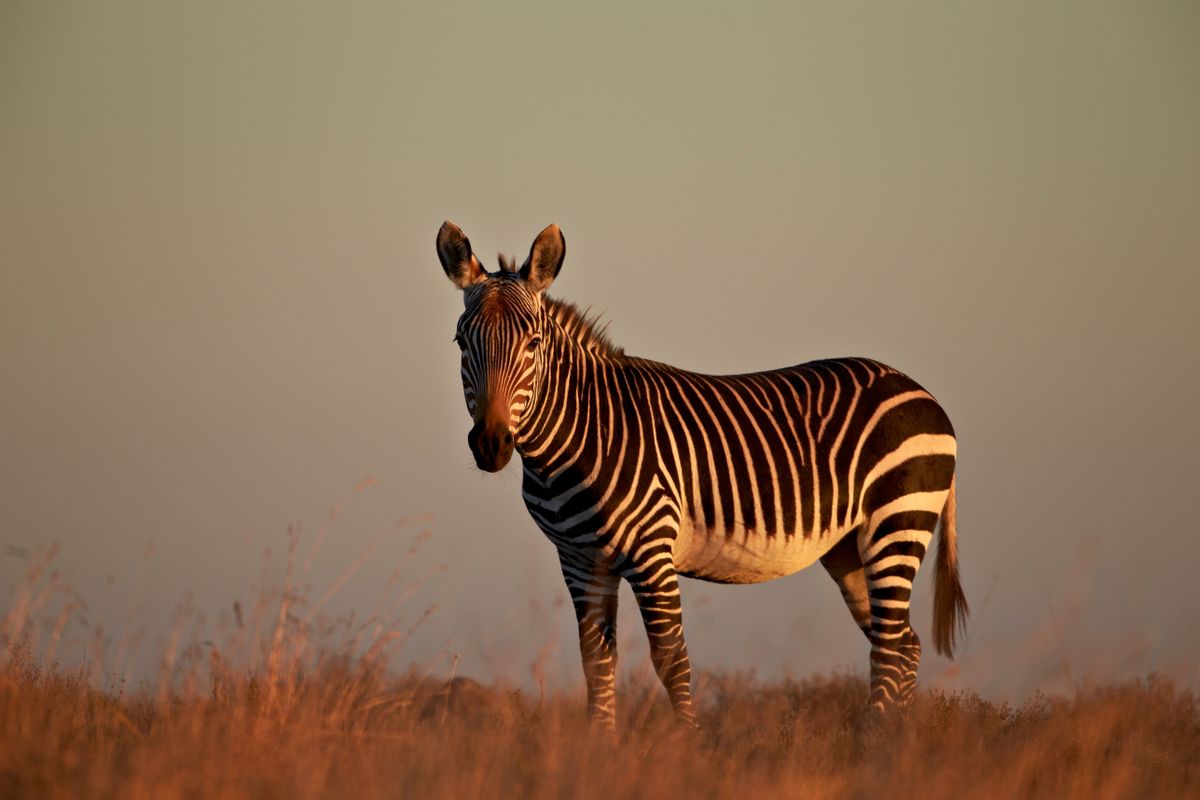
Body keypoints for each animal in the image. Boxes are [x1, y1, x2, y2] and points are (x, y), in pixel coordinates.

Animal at [436, 220, 967, 731]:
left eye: (533, 344)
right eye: (462, 343)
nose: (490, 444)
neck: (580, 436)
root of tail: (921, 392)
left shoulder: (651, 550)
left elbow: (671, 660)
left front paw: (688, 747)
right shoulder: (580, 560)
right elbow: (596, 662)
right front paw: (598, 748)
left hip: (896, 523)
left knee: (891, 647)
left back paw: (877, 743)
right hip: (848, 548)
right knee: (904, 644)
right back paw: (889, 744)